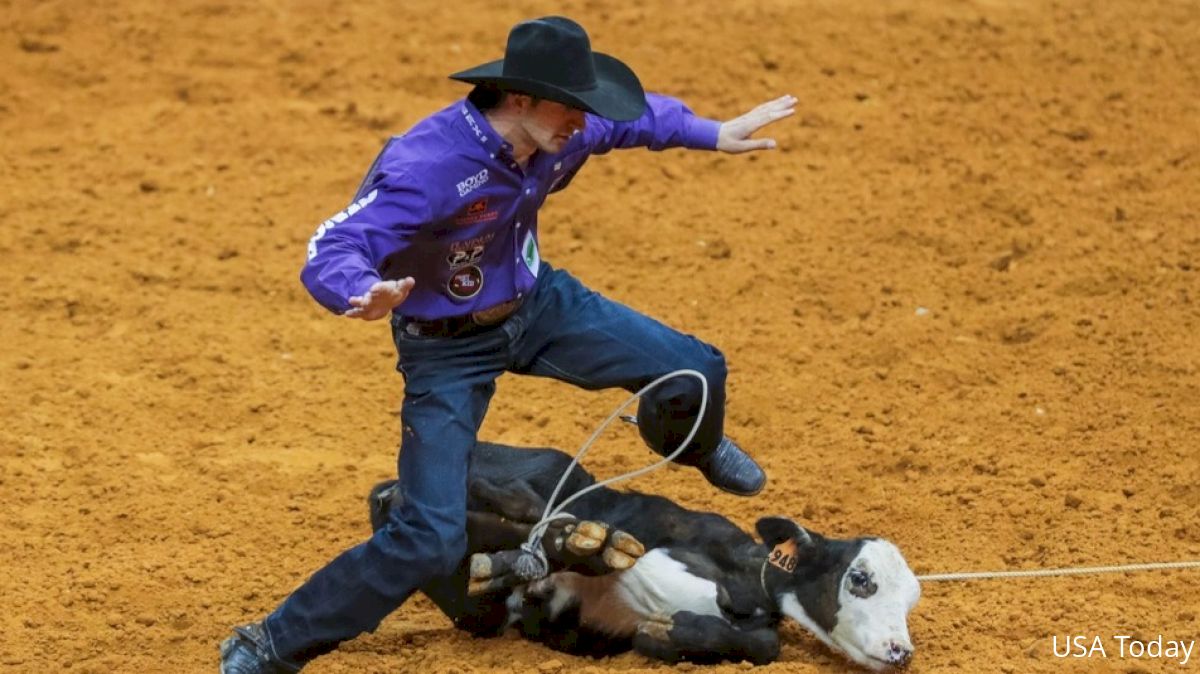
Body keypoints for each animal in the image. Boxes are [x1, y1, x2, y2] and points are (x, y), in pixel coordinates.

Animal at [364, 441, 916, 666]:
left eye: (912, 600)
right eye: (860, 578)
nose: (901, 651)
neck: (744, 583)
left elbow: (764, 644)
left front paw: (672, 633)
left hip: (474, 605)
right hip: (543, 471)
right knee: (500, 504)